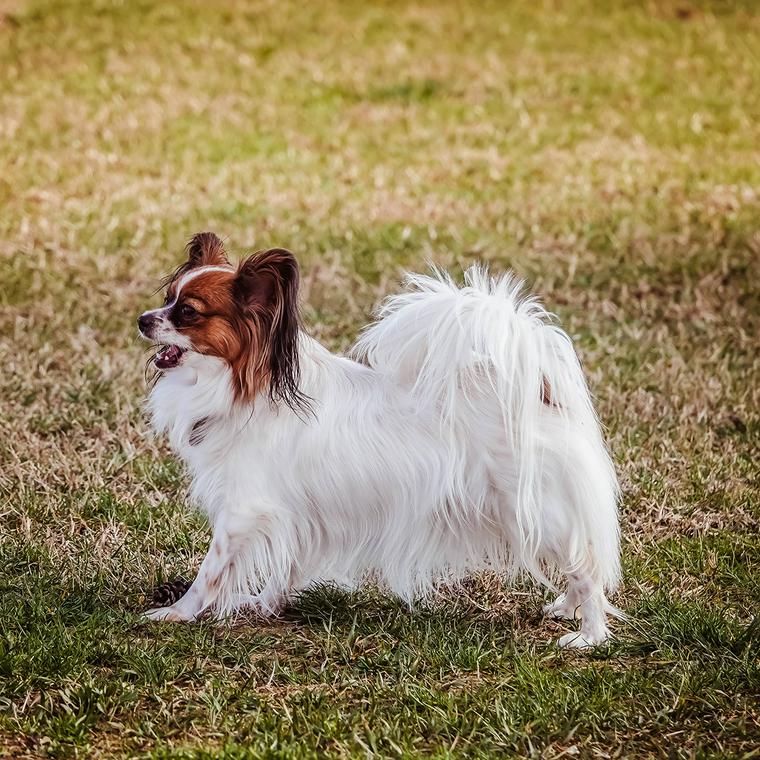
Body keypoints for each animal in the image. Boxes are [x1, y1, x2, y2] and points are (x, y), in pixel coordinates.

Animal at [138, 233, 624, 648]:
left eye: (187, 312)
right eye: (167, 298)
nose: (142, 320)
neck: (244, 385)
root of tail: (539, 393)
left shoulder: (242, 510)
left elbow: (210, 572)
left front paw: (178, 613)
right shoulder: (294, 513)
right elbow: (286, 566)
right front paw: (263, 606)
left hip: (537, 511)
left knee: (586, 566)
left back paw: (589, 635)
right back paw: (565, 608)